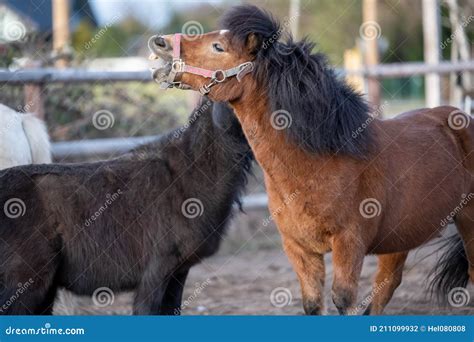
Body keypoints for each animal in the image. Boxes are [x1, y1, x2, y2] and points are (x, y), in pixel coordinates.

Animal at [151, 4, 474, 316]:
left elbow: (343, 300)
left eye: (218, 47)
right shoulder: (299, 249)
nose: (160, 44)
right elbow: (313, 305)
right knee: (387, 285)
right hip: (399, 237)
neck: (318, 162)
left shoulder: (348, 244)